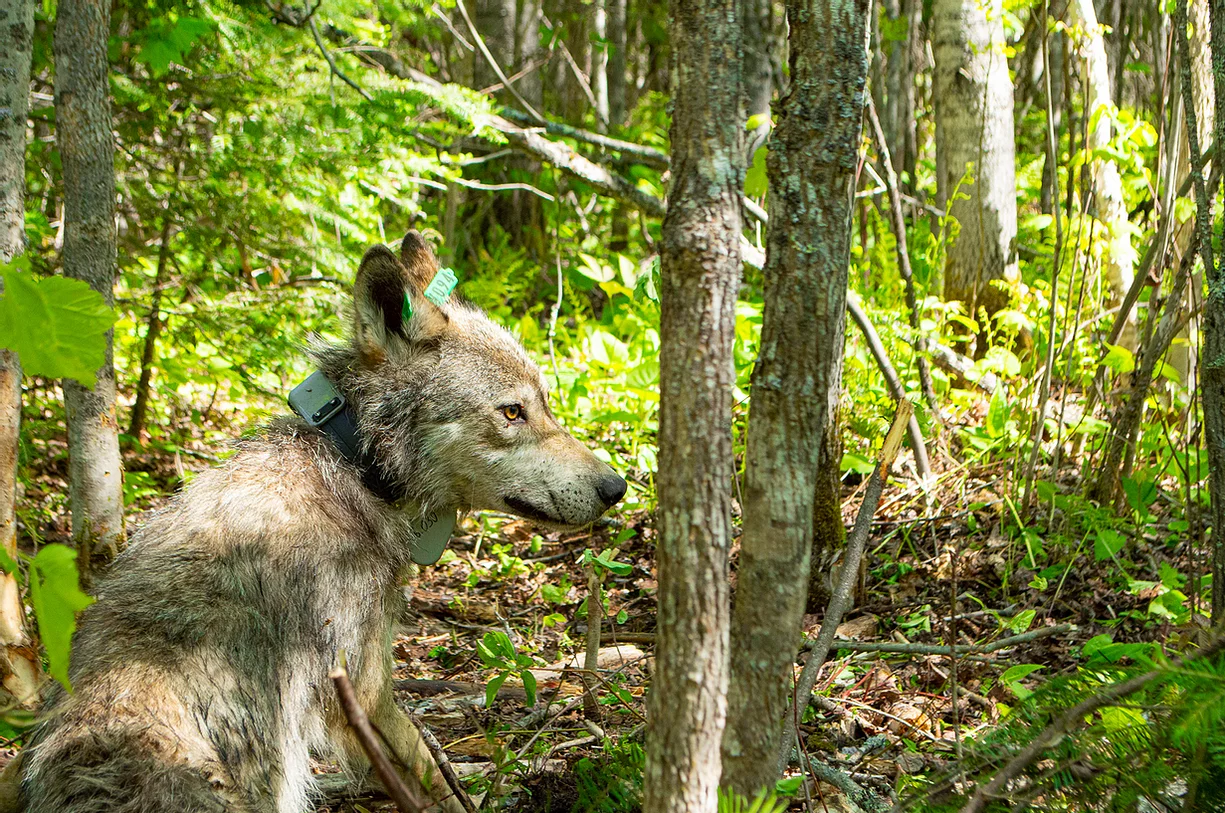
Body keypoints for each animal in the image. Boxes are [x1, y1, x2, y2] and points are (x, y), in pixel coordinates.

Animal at [16, 231, 632, 812]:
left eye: (546, 404)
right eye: (512, 412)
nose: (617, 487)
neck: (355, 466)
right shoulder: (363, 687)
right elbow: (436, 779)